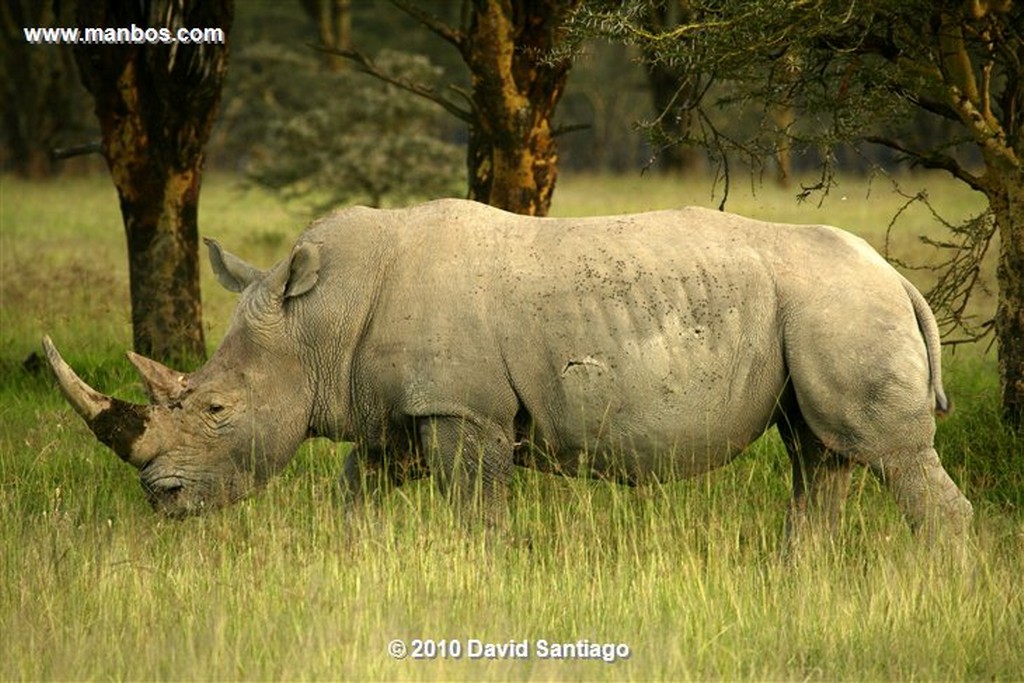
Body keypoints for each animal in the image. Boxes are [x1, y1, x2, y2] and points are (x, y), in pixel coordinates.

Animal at [44, 197, 974, 540]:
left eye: (214, 412)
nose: (159, 498)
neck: (318, 324)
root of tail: (898, 276)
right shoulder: (401, 408)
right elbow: (356, 487)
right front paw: (354, 555)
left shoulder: (465, 410)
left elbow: (474, 513)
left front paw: (475, 574)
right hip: (820, 312)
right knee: (822, 455)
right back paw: (797, 573)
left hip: (842, 308)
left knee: (886, 454)